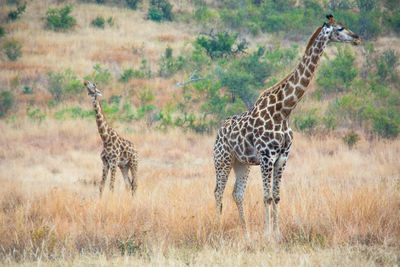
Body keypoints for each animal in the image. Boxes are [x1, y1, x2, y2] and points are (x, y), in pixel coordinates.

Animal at [214, 14, 360, 238]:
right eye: (340, 28)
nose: (357, 38)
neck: (284, 111)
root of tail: (218, 132)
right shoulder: (266, 156)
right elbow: (266, 196)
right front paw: (267, 235)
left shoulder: (282, 158)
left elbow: (276, 196)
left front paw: (277, 233)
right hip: (223, 159)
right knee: (218, 191)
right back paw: (218, 227)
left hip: (242, 163)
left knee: (237, 193)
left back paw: (246, 234)